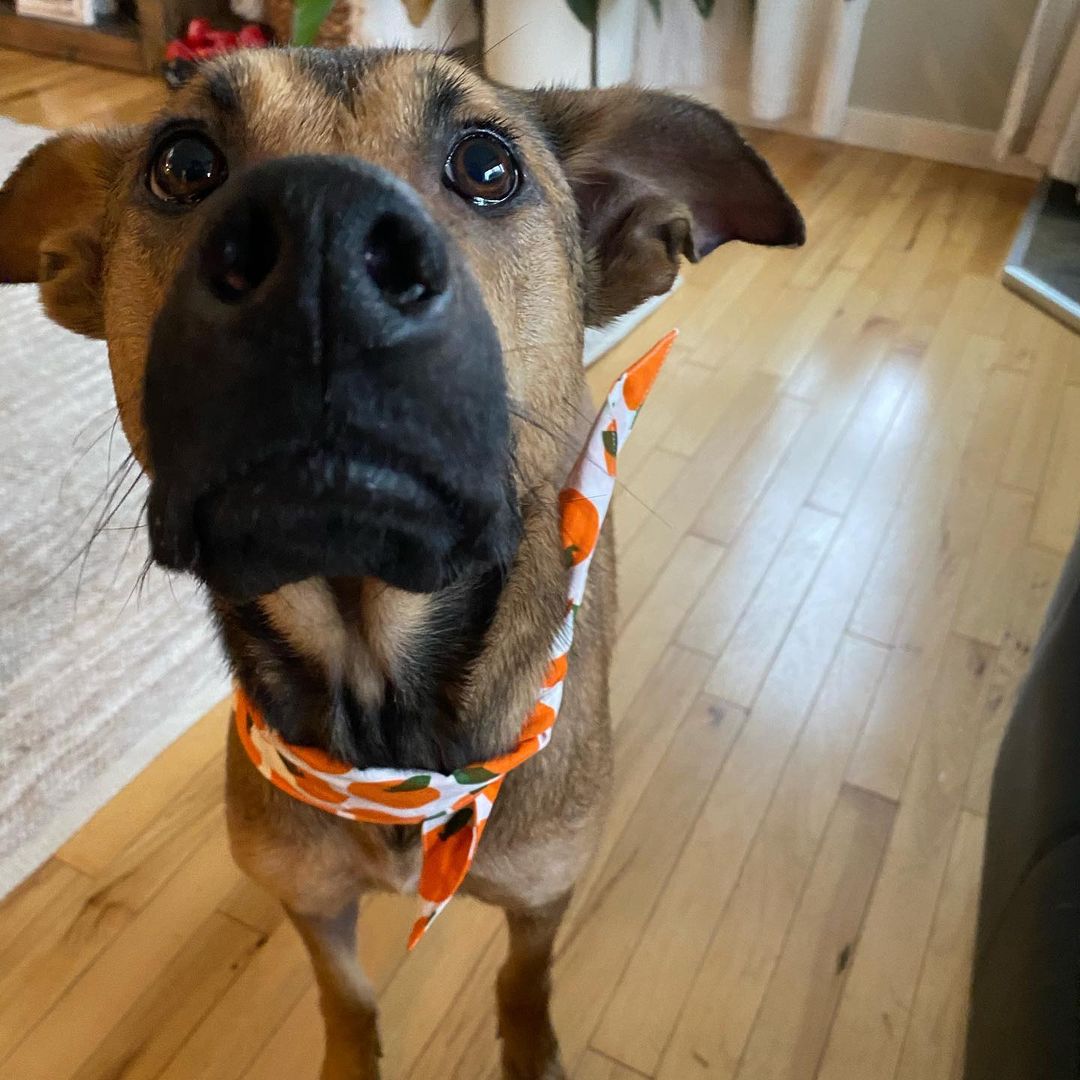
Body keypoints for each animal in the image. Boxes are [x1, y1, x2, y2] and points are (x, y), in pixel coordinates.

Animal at [0, 46, 803, 1075]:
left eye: (489, 165)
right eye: (182, 164)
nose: (321, 233)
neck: (385, 729)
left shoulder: (543, 891)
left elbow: (525, 978)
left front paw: (532, 1051)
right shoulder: (307, 896)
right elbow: (344, 992)